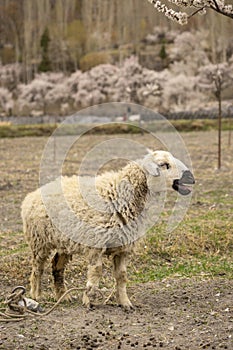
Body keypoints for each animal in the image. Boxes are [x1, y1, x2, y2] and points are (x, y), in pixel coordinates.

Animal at [21, 150, 195, 308]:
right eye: (164, 165)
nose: (191, 178)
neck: (121, 195)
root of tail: (33, 194)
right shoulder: (96, 244)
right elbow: (96, 271)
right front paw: (89, 299)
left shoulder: (124, 247)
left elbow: (122, 276)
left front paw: (125, 303)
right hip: (39, 240)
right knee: (37, 268)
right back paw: (36, 295)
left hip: (64, 241)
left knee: (57, 266)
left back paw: (63, 296)